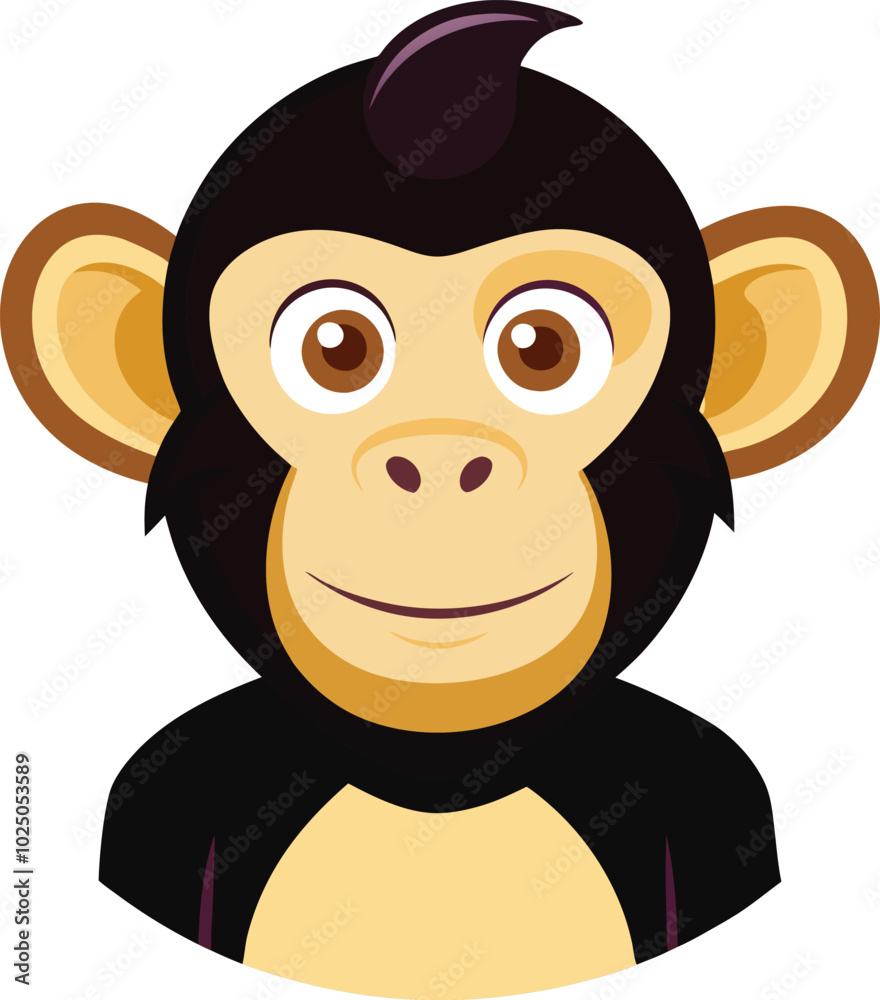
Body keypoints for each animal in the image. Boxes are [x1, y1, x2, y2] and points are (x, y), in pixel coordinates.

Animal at [2, 2, 877, 996]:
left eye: (542, 348)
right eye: (337, 347)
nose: (439, 457)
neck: (442, 791)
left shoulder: (719, 802)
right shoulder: (162, 800)